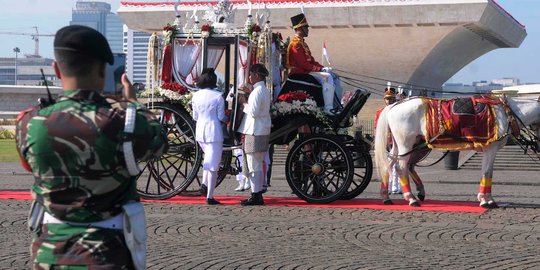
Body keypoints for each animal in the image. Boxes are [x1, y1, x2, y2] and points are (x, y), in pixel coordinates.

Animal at [376, 95, 540, 209]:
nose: (537, 143)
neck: (506, 113)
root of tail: (395, 105)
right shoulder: (490, 149)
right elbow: (487, 172)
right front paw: (486, 200)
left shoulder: (488, 150)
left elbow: (487, 173)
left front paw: (486, 198)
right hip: (407, 144)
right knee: (401, 167)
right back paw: (411, 198)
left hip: (401, 145)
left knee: (389, 163)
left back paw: (386, 196)